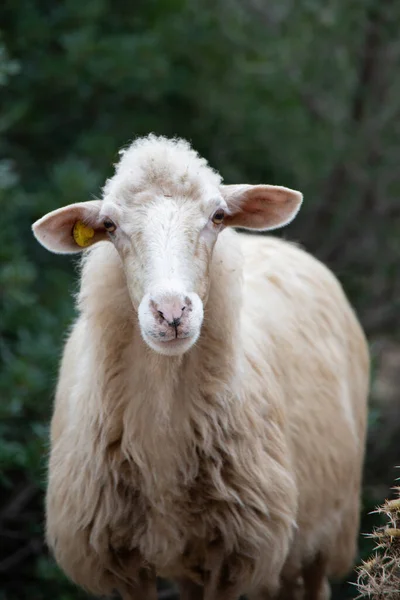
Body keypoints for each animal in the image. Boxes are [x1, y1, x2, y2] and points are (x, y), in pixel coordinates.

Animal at [32, 136, 370, 600]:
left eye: (218, 216)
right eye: (110, 226)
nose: (171, 311)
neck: (162, 443)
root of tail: (284, 245)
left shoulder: (234, 555)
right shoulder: (122, 561)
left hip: (329, 524)